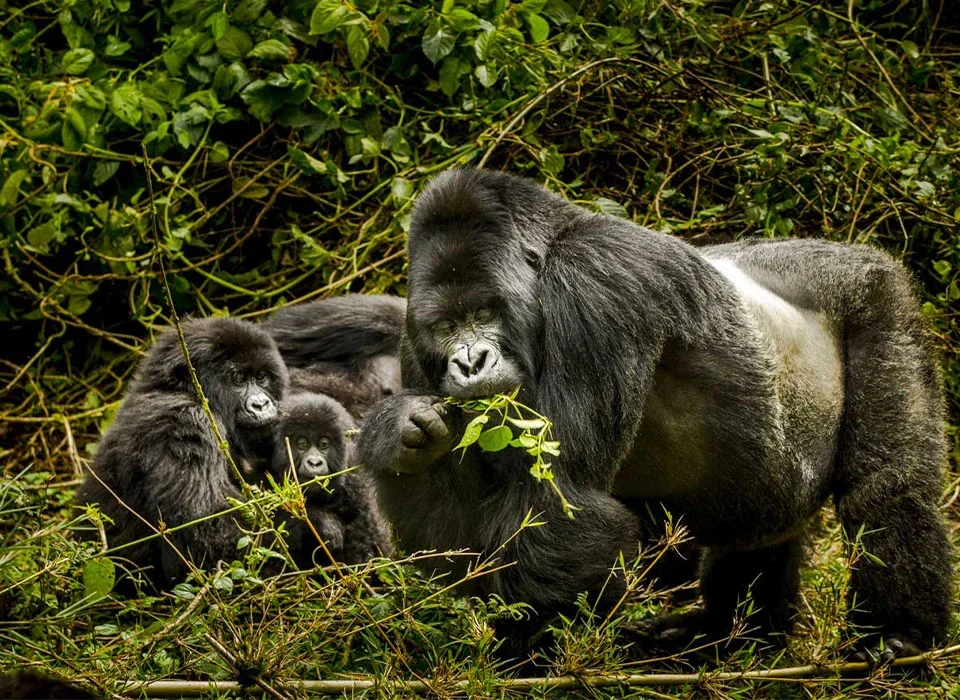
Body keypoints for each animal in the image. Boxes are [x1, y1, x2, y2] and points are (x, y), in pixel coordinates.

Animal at [356, 168, 953, 661]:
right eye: (446, 326)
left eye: (484, 312)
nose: (470, 361)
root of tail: (851, 251)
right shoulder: (413, 345)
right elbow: (451, 533)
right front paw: (403, 435)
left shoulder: (597, 276)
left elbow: (561, 499)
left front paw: (530, 659)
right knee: (761, 528)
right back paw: (731, 636)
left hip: (878, 296)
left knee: (886, 487)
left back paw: (901, 634)